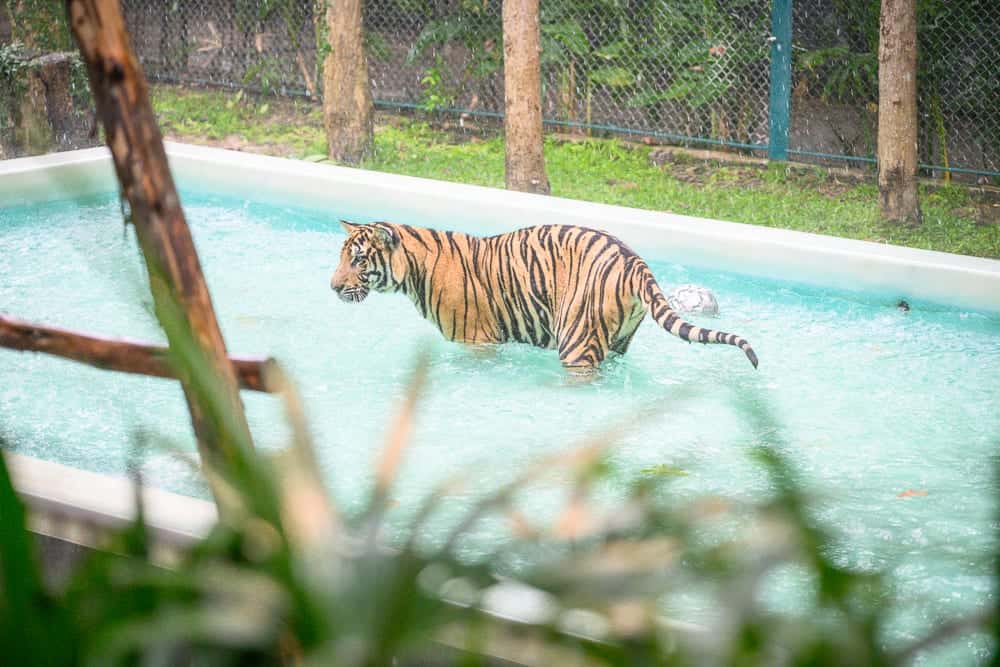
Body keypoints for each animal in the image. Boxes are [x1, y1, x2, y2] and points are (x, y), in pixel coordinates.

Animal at [330, 221, 758, 373]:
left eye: (358, 260)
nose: (333, 286)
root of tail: (633, 259)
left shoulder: (477, 342)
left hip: (577, 341)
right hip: (619, 342)